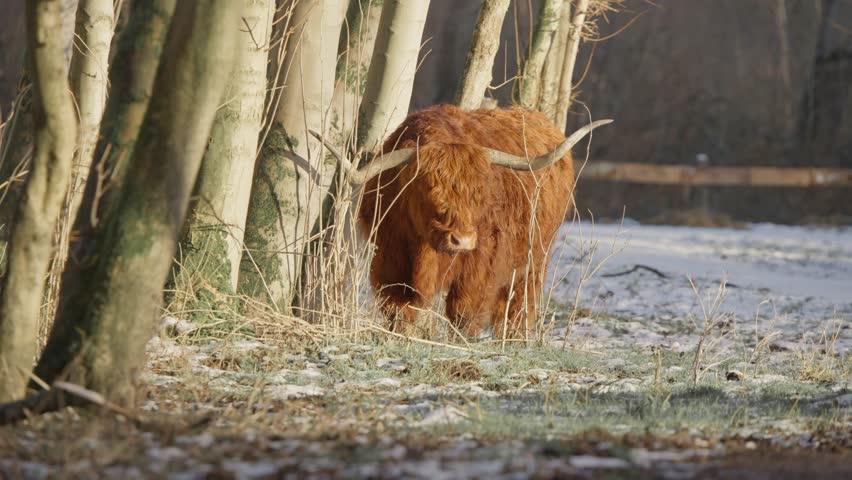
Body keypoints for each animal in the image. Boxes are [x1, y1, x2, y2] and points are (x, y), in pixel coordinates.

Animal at [316, 105, 608, 338]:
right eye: (428, 188)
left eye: (480, 191)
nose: (462, 240)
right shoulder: (388, 259)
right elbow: (398, 311)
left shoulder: (480, 266)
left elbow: (464, 313)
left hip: (535, 257)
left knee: (519, 303)